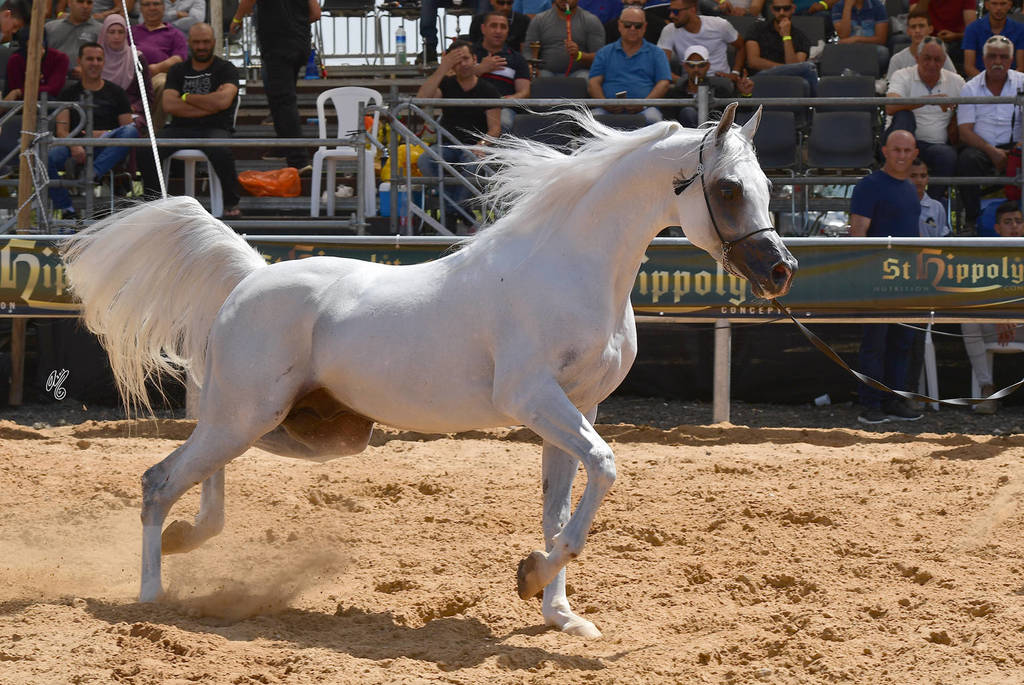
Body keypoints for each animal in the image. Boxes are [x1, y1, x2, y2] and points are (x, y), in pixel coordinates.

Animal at [62, 103, 796, 639]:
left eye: (767, 188)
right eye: (728, 189)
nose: (780, 270)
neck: (572, 269)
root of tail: (250, 276)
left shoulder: (576, 407)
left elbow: (562, 503)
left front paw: (560, 614)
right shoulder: (534, 398)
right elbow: (605, 470)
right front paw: (532, 578)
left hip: (285, 425)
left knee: (200, 475)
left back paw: (186, 540)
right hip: (249, 414)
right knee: (159, 480)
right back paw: (151, 594)